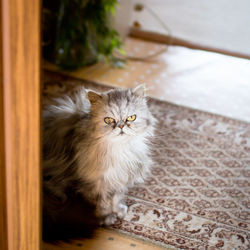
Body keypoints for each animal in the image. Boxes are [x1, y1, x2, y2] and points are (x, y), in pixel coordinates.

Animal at [43, 84, 156, 234]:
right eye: (109, 120)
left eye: (131, 118)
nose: (121, 126)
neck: (119, 151)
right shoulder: (97, 183)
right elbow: (103, 204)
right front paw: (106, 218)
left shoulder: (120, 178)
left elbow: (116, 198)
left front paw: (119, 211)